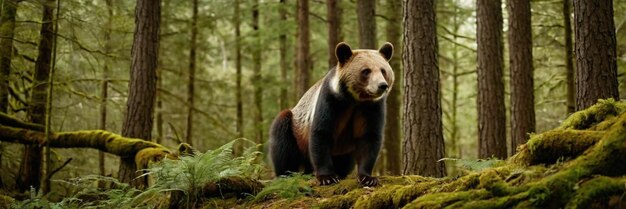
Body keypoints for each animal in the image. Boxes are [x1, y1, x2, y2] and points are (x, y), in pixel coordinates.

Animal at [266, 42, 390, 186]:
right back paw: (286, 174)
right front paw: (328, 177)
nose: (382, 85)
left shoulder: (371, 107)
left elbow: (369, 137)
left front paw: (367, 178)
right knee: (283, 137)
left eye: (383, 70)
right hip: (296, 130)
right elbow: (321, 132)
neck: (355, 99)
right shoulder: (331, 100)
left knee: (346, 160)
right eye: (366, 71)